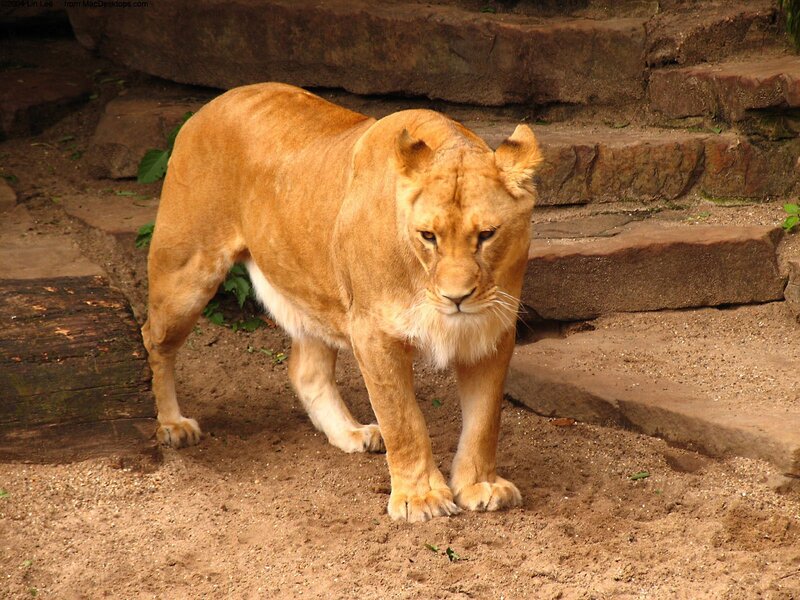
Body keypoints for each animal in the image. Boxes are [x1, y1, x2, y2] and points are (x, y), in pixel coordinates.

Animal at [141, 82, 542, 522]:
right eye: (428, 236)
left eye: (487, 235)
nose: (457, 298)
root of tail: (213, 103)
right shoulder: (373, 333)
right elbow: (403, 420)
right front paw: (420, 497)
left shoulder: (492, 329)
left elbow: (485, 420)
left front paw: (479, 485)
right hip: (184, 277)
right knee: (154, 339)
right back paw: (173, 425)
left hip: (313, 287)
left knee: (305, 369)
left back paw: (351, 432)